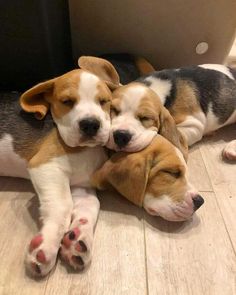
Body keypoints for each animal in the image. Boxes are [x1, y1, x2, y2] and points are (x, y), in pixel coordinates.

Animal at [0, 56, 121, 278]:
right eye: (67, 102)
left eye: (103, 101)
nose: (90, 124)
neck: (87, 150)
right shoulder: (46, 166)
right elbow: (64, 205)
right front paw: (46, 245)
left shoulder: (82, 186)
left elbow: (92, 205)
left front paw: (78, 238)